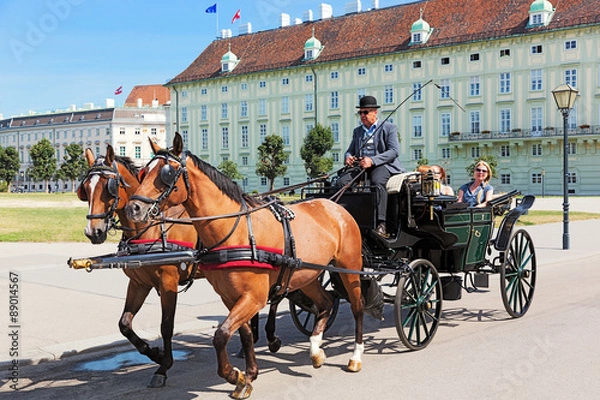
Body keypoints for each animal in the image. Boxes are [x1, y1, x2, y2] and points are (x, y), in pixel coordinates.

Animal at [76, 145, 199, 390]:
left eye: (109, 187)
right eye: (85, 189)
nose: (93, 232)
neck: (150, 229)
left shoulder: (168, 283)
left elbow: (166, 326)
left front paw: (163, 366)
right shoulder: (139, 283)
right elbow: (124, 324)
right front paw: (154, 353)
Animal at [124, 134, 364, 396]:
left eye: (167, 173)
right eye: (143, 173)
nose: (133, 208)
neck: (235, 230)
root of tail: (334, 206)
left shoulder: (253, 298)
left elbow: (220, 335)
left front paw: (233, 374)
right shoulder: (230, 297)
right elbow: (245, 335)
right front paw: (248, 376)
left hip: (350, 268)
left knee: (357, 307)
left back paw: (355, 355)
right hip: (307, 275)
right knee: (326, 303)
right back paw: (315, 349)